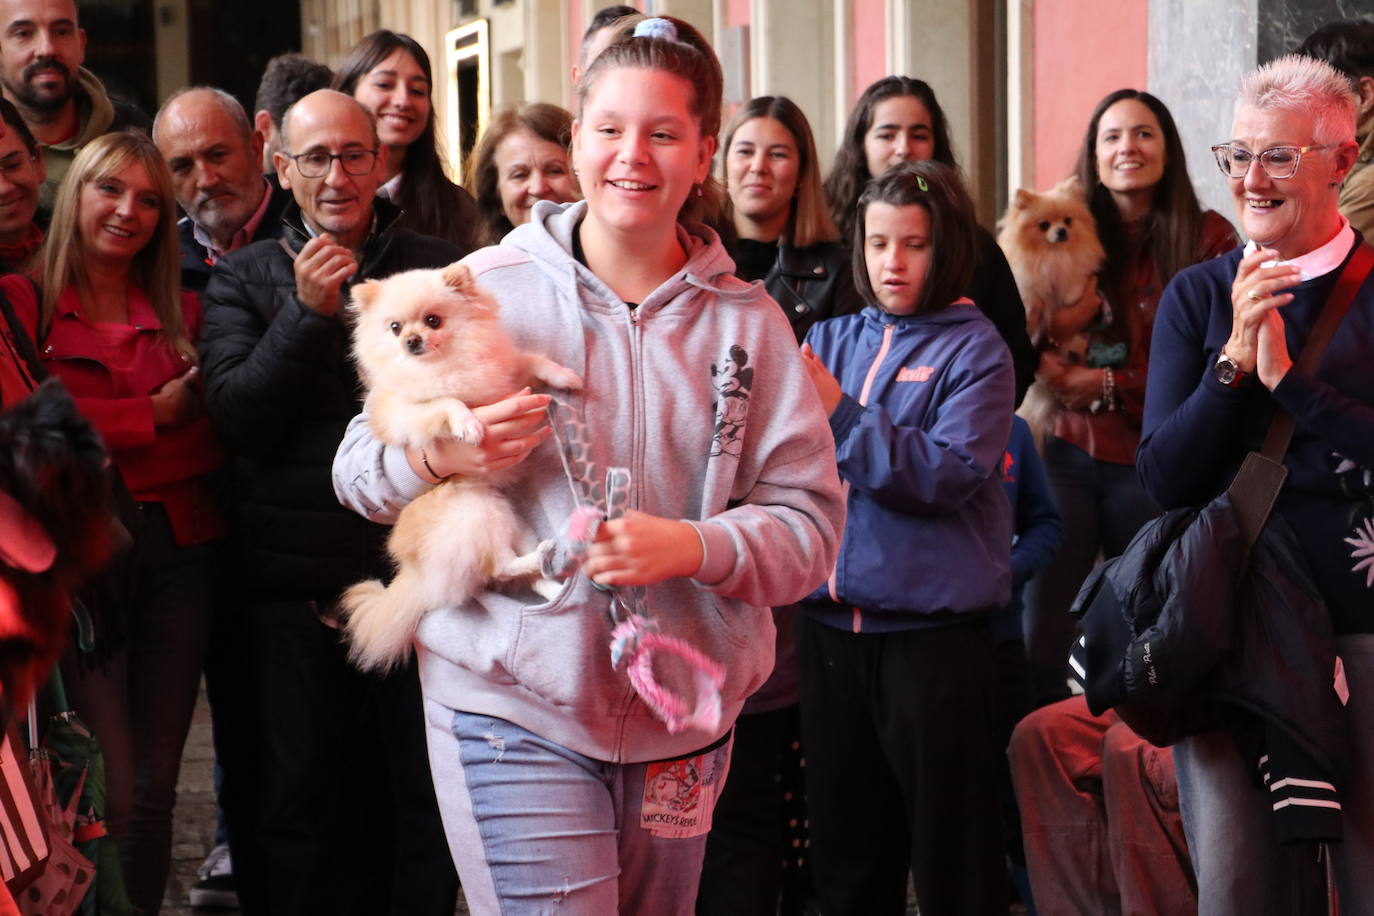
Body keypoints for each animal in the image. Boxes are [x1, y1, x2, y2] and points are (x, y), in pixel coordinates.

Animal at [343, 260, 585, 670]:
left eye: (433, 320)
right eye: (395, 328)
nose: (411, 340)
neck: (443, 364)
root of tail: (418, 573)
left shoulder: (505, 380)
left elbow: (531, 360)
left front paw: (565, 376)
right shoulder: (407, 413)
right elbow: (446, 402)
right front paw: (468, 424)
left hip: (511, 520)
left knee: (516, 569)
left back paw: (551, 584)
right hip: (476, 513)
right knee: (497, 567)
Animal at [1000, 177, 1104, 447]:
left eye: (1067, 221)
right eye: (1044, 225)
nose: (1061, 232)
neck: (1052, 254)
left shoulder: (1072, 270)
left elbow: (1073, 283)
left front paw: (1071, 295)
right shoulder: (1026, 283)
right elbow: (1032, 300)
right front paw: (1031, 315)